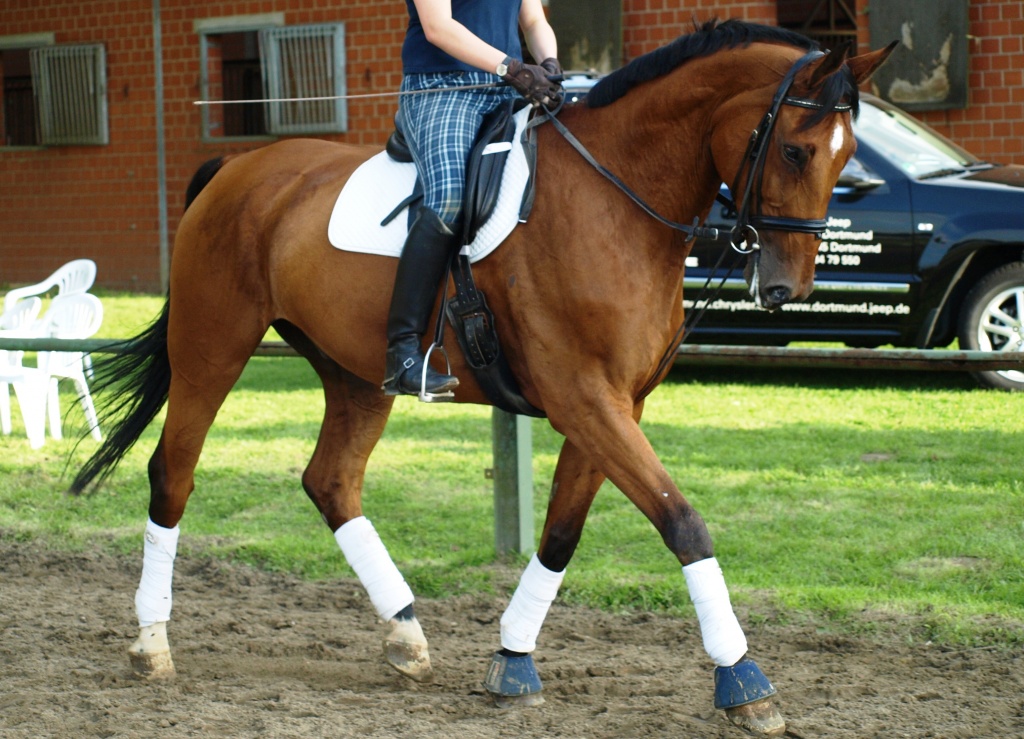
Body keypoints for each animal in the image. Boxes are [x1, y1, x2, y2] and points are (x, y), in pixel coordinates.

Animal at [73, 19, 893, 736]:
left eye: (847, 157)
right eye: (796, 151)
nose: (788, 289)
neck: (616, 197)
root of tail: (236, 167)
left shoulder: (616, 402)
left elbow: (562, 532)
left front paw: (513, 660)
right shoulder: (582, 397)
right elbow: (683, 521)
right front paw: (744, 681)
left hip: (356, 372)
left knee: (330, 481)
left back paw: (406, 636)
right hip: (213, 345)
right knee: (173, 471)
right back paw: (152, 642)